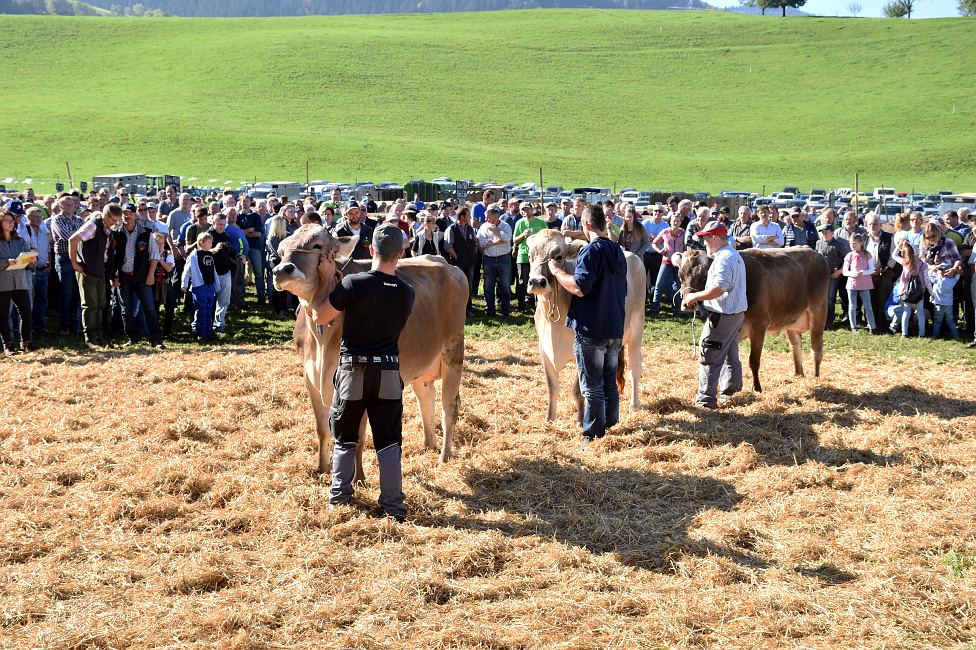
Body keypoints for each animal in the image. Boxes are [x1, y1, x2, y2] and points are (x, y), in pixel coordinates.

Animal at [270, 227, 468, 476]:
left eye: (316, 245)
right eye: (281, 251)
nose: (281, 270)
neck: (322, 338)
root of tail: (448, 265)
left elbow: (358, 437)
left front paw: (358, 478)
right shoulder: (310, 377)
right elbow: (321, 429)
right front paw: (322, 469)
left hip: (453, 352)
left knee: (449, 406)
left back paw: (444, 456)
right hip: (421, 365)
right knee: (427, 399)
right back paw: (428, 445)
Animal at [528, 230, 648, 422]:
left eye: (558, 257)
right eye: (530, 256)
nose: (537, 282)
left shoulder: (582, 349)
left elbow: (578, 391)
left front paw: (579, 420)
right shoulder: (544, 350)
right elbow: (552, 389)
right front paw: (550, 419)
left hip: (637, 327)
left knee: (635, 366)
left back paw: (634, 407)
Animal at [680, 246, 832, 390]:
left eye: (704, 276)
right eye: (681, 276)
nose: (688, 304)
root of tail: (816, 253)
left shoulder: (759, 326)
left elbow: (753, 360)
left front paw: (756, 388)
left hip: (818, 312)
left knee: (816, 348)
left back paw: (816, 378)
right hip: (791, 320)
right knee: (796, 347)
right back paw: (798, 374)